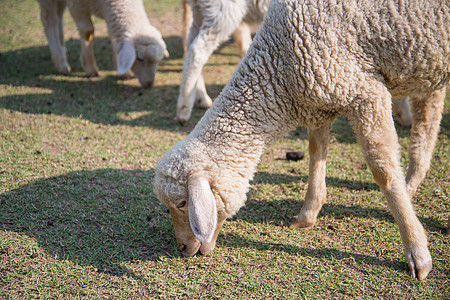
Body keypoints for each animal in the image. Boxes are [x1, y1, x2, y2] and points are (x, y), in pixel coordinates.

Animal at [37, 0, 169, 88]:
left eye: (158, 61)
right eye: (140, 59)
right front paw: (90, 68)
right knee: (49, 19)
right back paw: (62, 63)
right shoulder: (77, 5)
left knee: (58, 16)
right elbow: (87, 31)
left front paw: (123, 72)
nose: (149, 84)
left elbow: (113, 37)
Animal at [153, 0, 448, 282]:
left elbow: (384, 172)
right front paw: (308, 214)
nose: (183, 248)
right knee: (426, 126)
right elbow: (316, 154)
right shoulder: (320, 98)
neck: (278, 67)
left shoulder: (365, 93)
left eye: (182, 204)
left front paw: (417, 252)